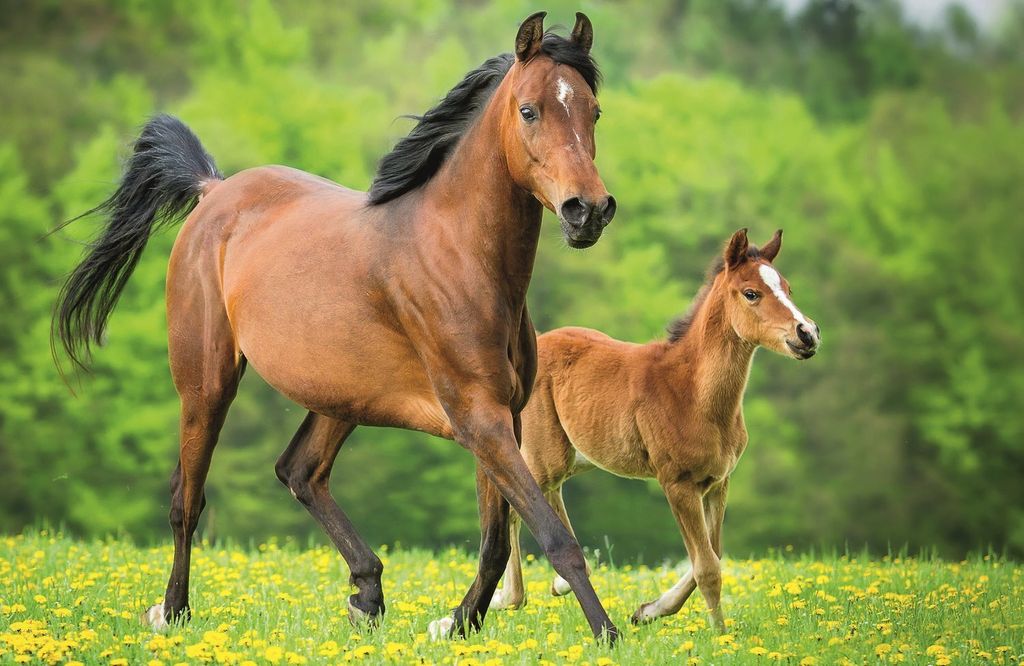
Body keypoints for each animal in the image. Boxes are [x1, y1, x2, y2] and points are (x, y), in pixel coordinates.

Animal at [52, 12, 620, 642]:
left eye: (593, 111)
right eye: (529, 110)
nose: (588, 210)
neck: (462, 259)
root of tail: (213, 190)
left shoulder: (501, 418)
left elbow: (496, 542)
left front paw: (457, 623)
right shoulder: (480, 418)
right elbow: (555, 539)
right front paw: (608, 634)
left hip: (340, 395)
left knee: (299, 471)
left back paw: (366, 594)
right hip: (207, 383)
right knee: (188, 498)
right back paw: (173, 612)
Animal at [488, 228, 820, 633]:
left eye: (788, 287)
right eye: (751, 293)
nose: (807, 334)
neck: (693, 392)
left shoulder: (718, 482)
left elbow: (714, 554)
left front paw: (649, 610)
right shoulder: (677, 483)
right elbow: (707, 567)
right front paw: (720, 634)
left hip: (573, 457)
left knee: (539, 499)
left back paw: (549, 586)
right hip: (545, 455)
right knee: (519, 502)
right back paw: (510, 596)